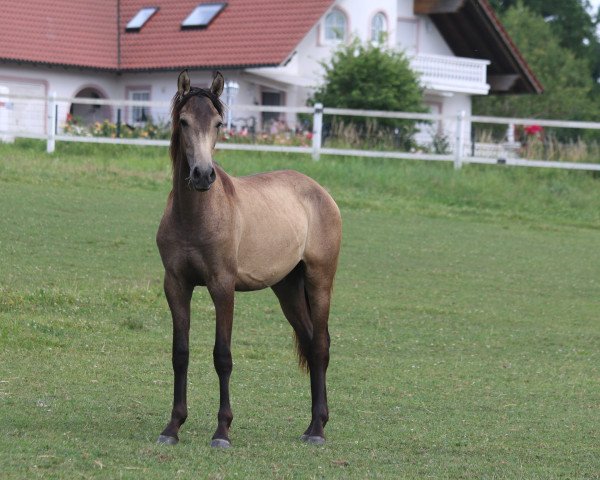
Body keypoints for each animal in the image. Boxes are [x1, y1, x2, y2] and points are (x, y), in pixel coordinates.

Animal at [155, 71, 342, 450]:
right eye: (183, 122)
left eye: (218, 123)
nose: (202, 175)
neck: (197, 216)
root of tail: (321, 192)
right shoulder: (176, 285)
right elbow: (180, 354)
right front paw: (173, 426)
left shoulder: (222, 287)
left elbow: (222, 356)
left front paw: (222, 431)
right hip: (287, 289)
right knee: (309, 339)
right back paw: (313, 423)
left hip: (319, 281)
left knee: (320, 345)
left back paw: (317, 429)